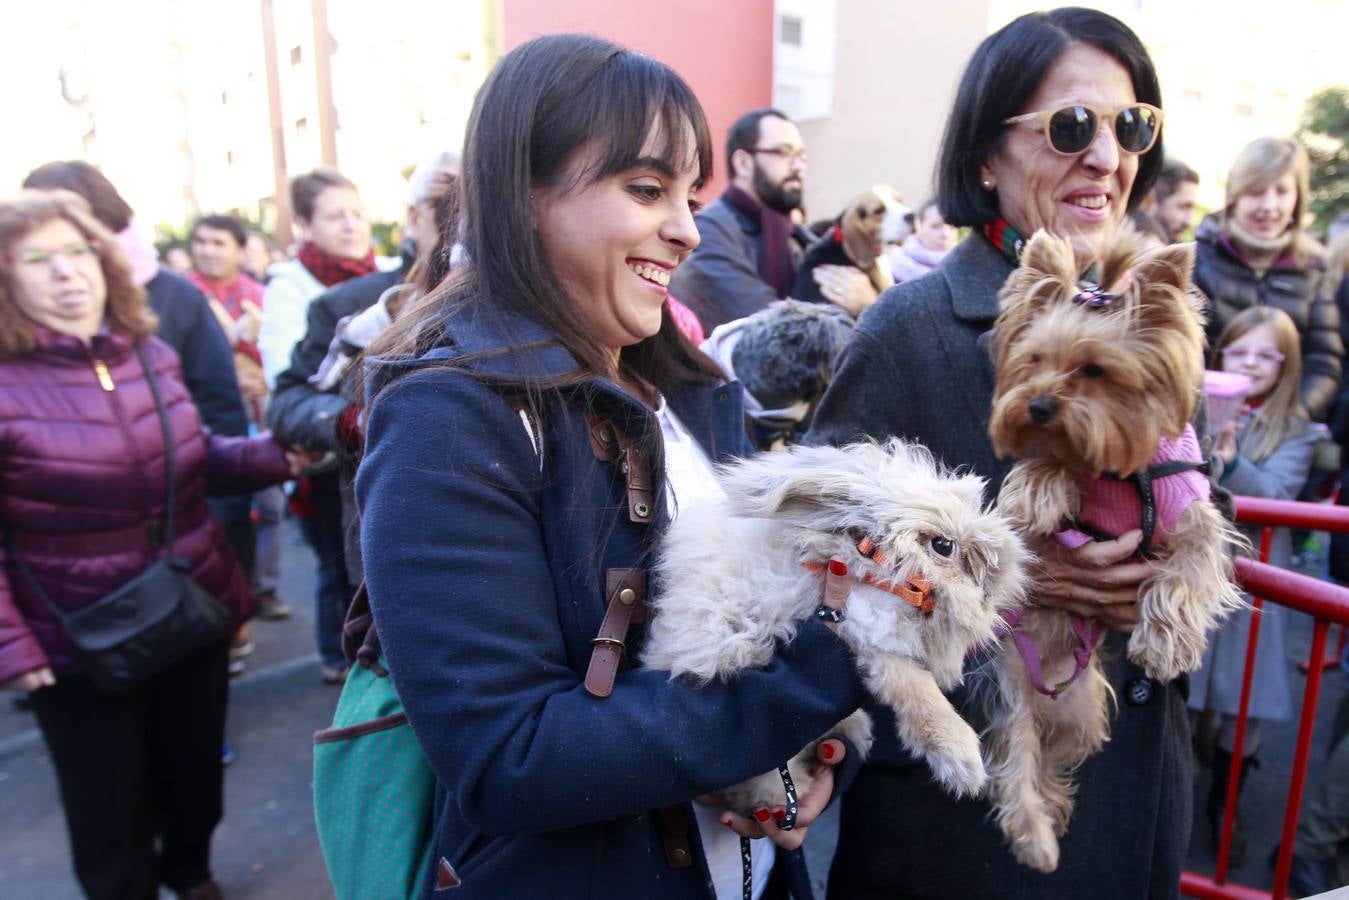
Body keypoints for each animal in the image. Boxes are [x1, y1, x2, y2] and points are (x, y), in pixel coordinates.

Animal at [642, 439, 1030, 820]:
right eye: (943, 546)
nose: (997, 576)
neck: (871, 563)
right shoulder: (867, 627)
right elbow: (917, 690)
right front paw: (964, 764)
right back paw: (782, 796)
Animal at [976, 229, 1235, 874]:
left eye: (1093, 369)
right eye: (1033, 361)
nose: (1039, 406)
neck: (1122, 474)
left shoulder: (1194, 509)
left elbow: (1191, 562)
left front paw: (1165, 645)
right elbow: (1047, 468)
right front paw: (1037, 490)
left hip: (1084, 704)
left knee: (1051, 752)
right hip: (1013, 681)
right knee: (1017, 750)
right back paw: (1034, 836)